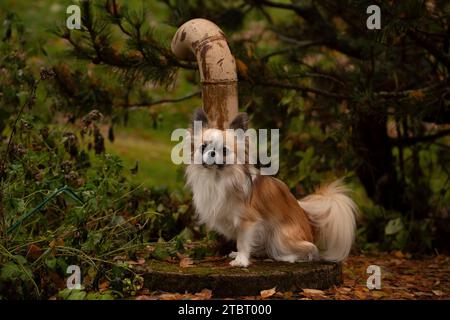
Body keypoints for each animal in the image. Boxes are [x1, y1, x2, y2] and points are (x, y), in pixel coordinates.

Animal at [185, 109, 356, 266]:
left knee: (310, 250)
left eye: (225, 150)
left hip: (280, 235)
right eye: (203, 147)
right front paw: (239, 255)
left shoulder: (248, 221)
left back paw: (287, 257)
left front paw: (241, 261)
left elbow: (242, 242)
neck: (217, 178)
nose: (212, 153)